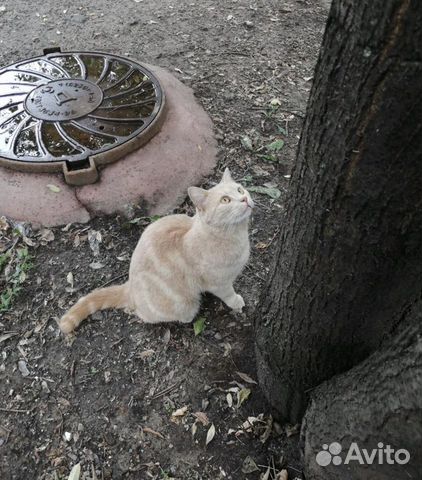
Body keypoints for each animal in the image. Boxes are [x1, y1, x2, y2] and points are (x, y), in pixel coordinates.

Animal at [57, 169, 252, 334]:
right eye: (225, 200)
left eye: (240, 189)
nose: (245, 199)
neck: (235, 235)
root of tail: (130, 286)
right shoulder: (219, 283)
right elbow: (228, 294)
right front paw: (236, 302)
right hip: (185, 305)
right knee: (146, 315)